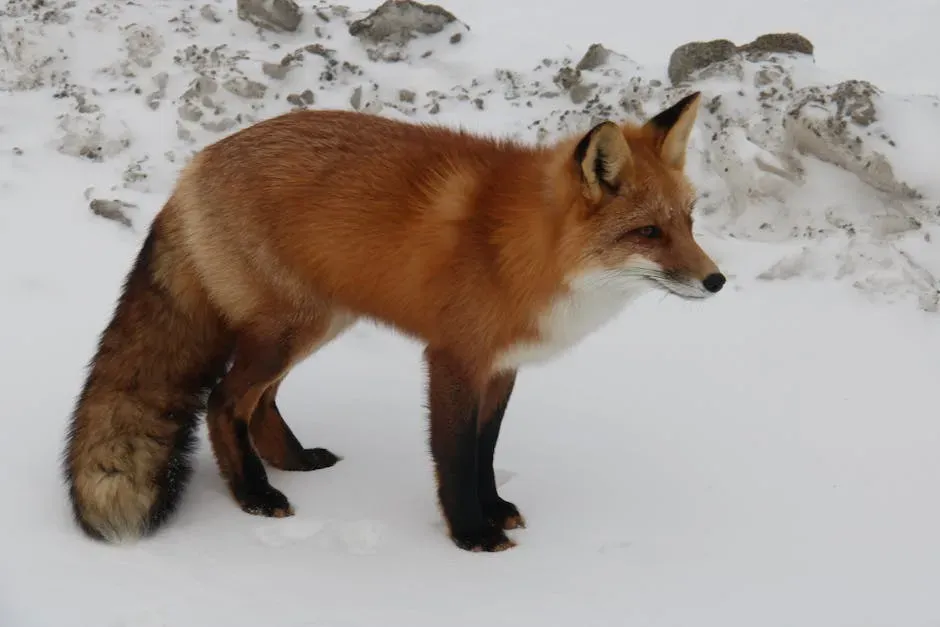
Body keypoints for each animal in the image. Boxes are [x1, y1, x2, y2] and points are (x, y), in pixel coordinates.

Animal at [62, 90, 725, 552]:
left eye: (689, 221)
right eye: (648, 232)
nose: (717, 281)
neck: (528, 247)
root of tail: (193, 167)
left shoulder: (501, 368)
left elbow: (486, 450)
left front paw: (493, 509)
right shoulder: (453, 358)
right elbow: (454, 454)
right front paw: (471, 535)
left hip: (314, 326)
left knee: (260, 401)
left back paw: (293, 461)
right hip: (290, 330)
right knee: (224, 401)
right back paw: (254, 494)